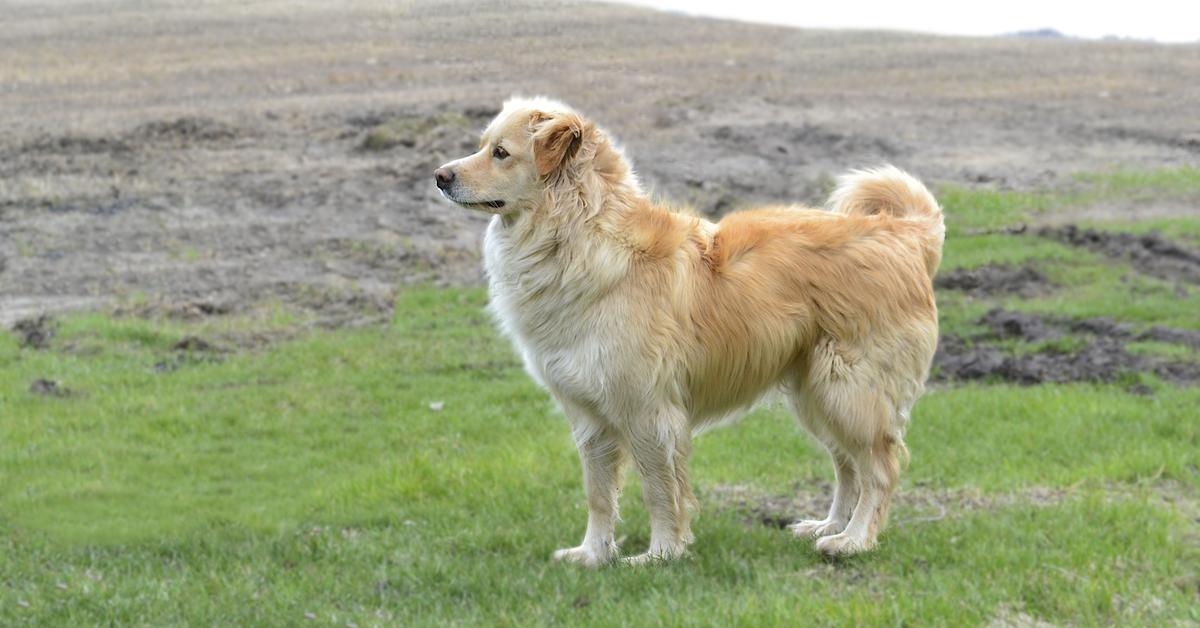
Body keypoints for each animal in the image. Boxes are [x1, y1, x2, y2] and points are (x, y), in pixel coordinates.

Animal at [436, 98, 940, 564]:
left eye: (501, 153)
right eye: (483, 145)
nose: (440, 176)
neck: (582, 235)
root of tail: (903, 231)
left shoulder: (647, 412)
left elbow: (660, 490)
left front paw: (660, 555)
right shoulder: (589, 418)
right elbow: (599, 495)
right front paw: (593, 554)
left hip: (849, 393)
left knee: (878, 468)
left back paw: (854, 540)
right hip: (816, 394)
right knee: (847, 464)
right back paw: (829, 525)